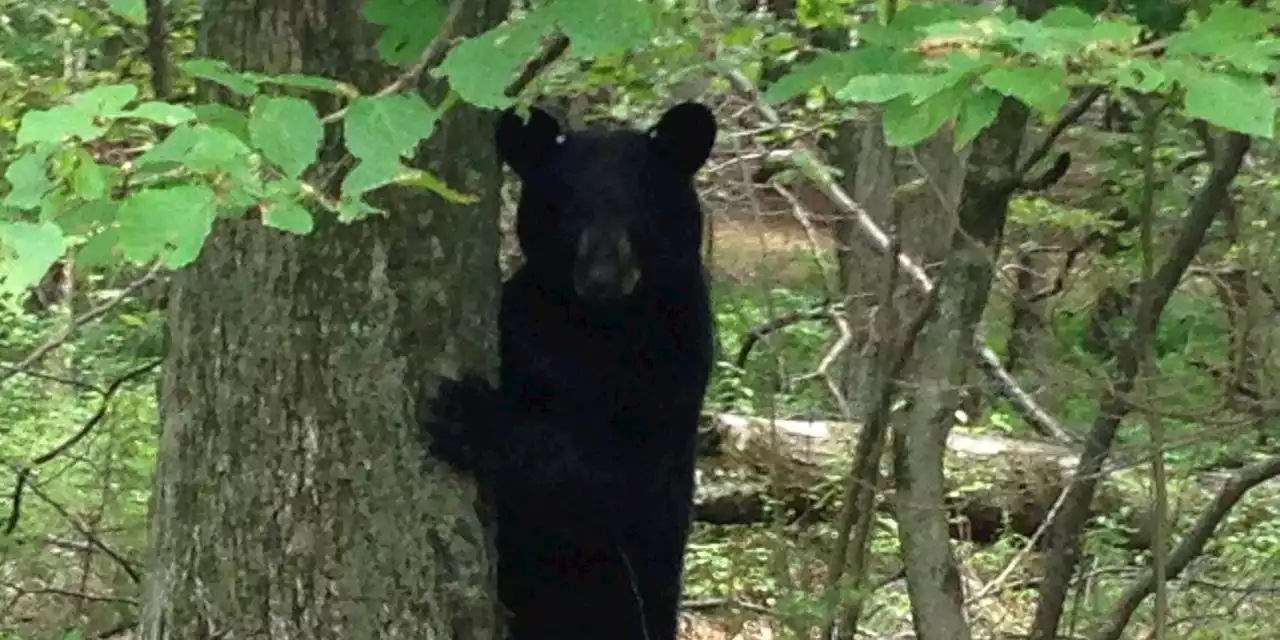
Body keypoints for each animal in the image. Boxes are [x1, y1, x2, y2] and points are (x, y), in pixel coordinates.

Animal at [422, 101, 716, 640]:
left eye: (639, 207)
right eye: (568, 208)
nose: (601, 277)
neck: (597, 326)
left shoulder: (675, 363)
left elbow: (612, 474)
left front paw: (469, 416)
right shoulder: (524, 320)